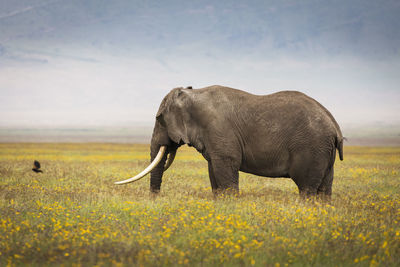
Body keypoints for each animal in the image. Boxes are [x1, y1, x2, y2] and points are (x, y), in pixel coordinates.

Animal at [115, 85, 344, 200]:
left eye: (159, 119)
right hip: (323, 151)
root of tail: (334, 126)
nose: (156, 200)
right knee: (324, 188)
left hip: (311, 147)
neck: (194, 93)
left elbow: (225, 167)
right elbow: (213, 171)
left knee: (306, 188)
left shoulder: (219, 130)